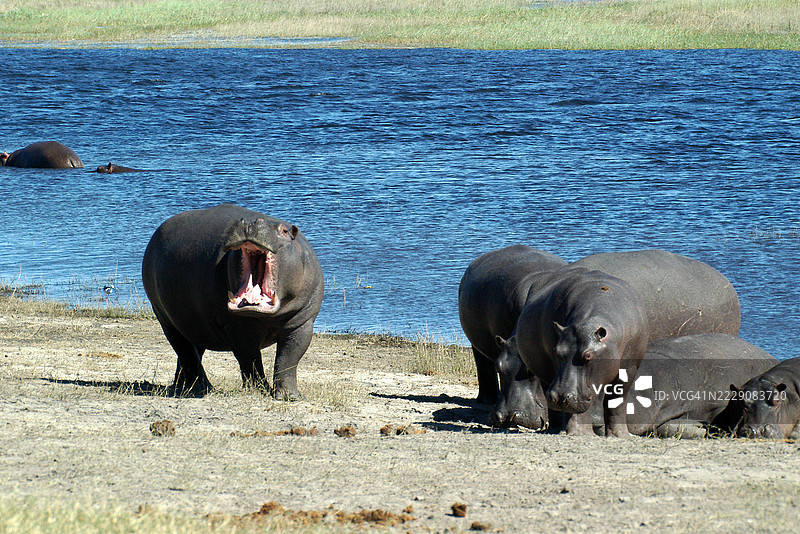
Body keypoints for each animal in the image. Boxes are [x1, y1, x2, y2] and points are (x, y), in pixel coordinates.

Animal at [142, 204, 324, 399]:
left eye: (284, 230)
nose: (250, 223)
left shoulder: (302, 322)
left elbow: (290, 357)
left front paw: (289, 396)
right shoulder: (238, 326)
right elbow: (250, 359)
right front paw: (259, 390)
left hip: (193, 323)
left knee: (191, 353)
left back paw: (182, 386)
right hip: (166, 320)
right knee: (186, 352)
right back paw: (202, 388)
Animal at [457, 246, 567, 428]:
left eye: (532, 370)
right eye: (499, 367)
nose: (509, 417)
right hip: (476, 344)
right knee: (482, 364)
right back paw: (487, 401)